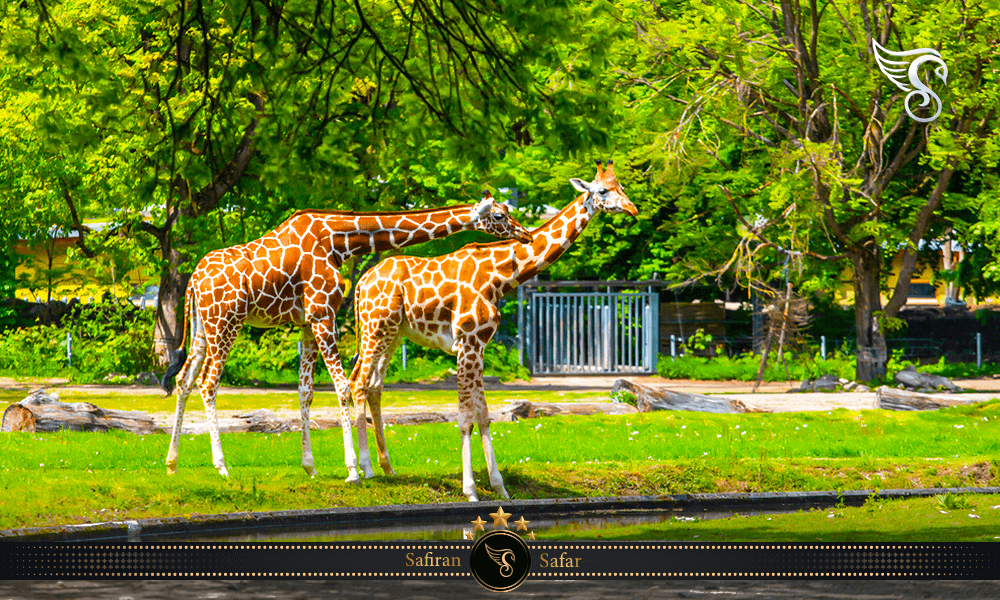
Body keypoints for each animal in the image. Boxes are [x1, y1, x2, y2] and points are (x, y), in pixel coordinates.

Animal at [157, 193, 536, 482]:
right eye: (500, 215)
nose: (526, 235)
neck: (338, 242)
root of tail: (193, 281)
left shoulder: (308, 322)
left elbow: (306, 392)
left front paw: (310, 467)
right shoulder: (324, 315)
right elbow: (341, 387)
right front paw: (353, 469)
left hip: (203, 329)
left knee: (185, 379)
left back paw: (172, 463)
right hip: (225, 323)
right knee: (208, 383)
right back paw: (221, 467)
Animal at [348, 161, 636, 502]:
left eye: (622, 187)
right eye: (603, 190)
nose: (632, 208)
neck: (500, 277)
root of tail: (362, 282)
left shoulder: (479, 345)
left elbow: (484, 415)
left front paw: (500, 486)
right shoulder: (466, 343)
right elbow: (465, 417)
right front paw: (470, 489)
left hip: (393, 334)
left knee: (373, 385)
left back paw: (387, 469)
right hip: (375, 328)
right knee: (356, 384)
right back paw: (362, 471)